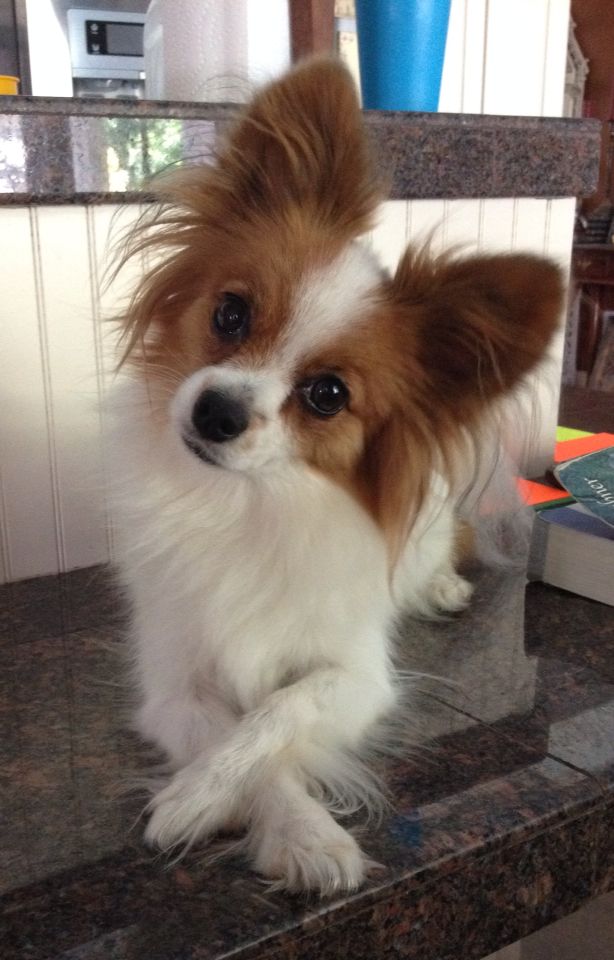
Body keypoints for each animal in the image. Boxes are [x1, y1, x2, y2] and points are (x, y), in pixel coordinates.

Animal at [108, 56, 564, 892]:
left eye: (327, 395)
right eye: (229, 314)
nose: (216, 412)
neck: (250, 505)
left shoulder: (356, 675)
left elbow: (276, 713)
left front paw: (227, 805)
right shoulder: (174, 683)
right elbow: (242, 742)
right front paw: (279, 824)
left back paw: (442, 586)